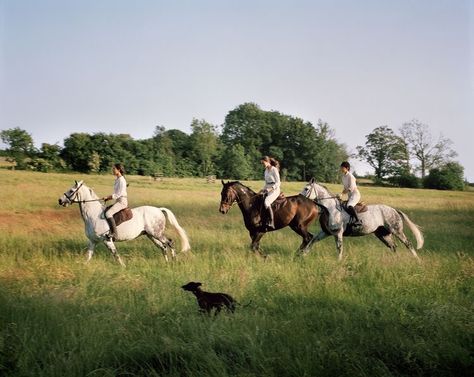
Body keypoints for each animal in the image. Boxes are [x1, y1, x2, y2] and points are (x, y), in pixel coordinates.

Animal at [59, 181, 191, 266]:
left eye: (71, 190)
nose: (60, 200)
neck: (93, 215)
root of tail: (159, 209)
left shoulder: (107, 240)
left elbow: (115, 254)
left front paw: (123, 267)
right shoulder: (93, 241)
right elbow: (88, 255)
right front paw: (83, 266)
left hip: (156, 234)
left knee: (170, 243)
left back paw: (174, 261)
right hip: (151, 235)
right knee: (163, 247)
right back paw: (167, 263)